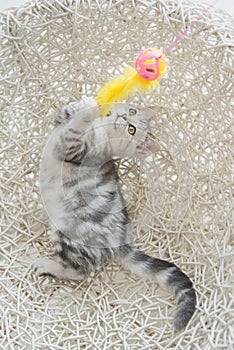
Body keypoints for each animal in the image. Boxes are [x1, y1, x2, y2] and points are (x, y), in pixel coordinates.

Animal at [34, 96, 196, 330]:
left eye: (131, 129)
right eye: (132, 110)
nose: (123, 115)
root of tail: (122, 242)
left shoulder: (75, 149)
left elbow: (76, 128)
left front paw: (90, 109)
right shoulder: (60, 124)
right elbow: (66, 113)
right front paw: (89, 102)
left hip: (69, 233)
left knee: (79, 271)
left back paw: (48, 265)